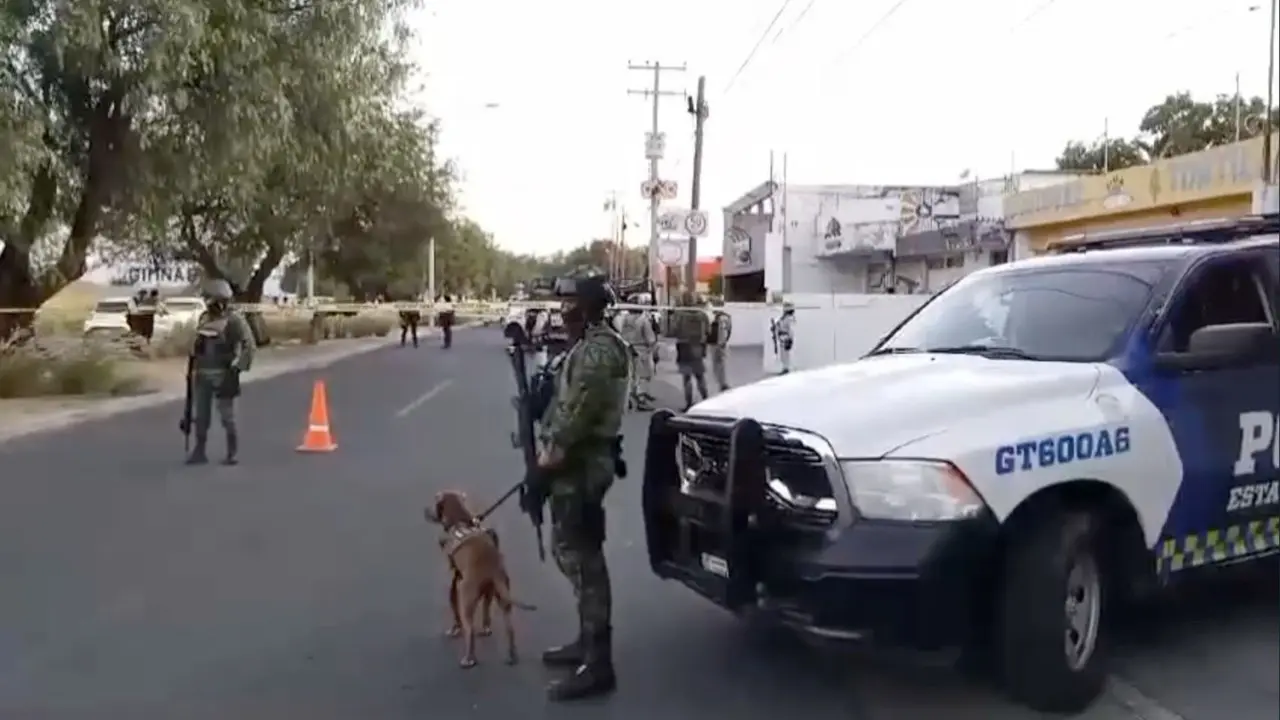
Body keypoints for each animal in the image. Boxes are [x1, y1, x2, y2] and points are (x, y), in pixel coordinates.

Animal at [424, 486, 535, 666]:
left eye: (434, 501)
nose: (425, 510)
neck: (460, 521)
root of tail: (492, 567)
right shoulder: (488, 592)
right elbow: (486, 611)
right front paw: (486, 627)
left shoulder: (456, 580)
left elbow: (454, 609)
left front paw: (454, 629)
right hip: (502, 594)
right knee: (510, 628)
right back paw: (512, 655)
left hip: (466, 597)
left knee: (470, 629)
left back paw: (469, 658)